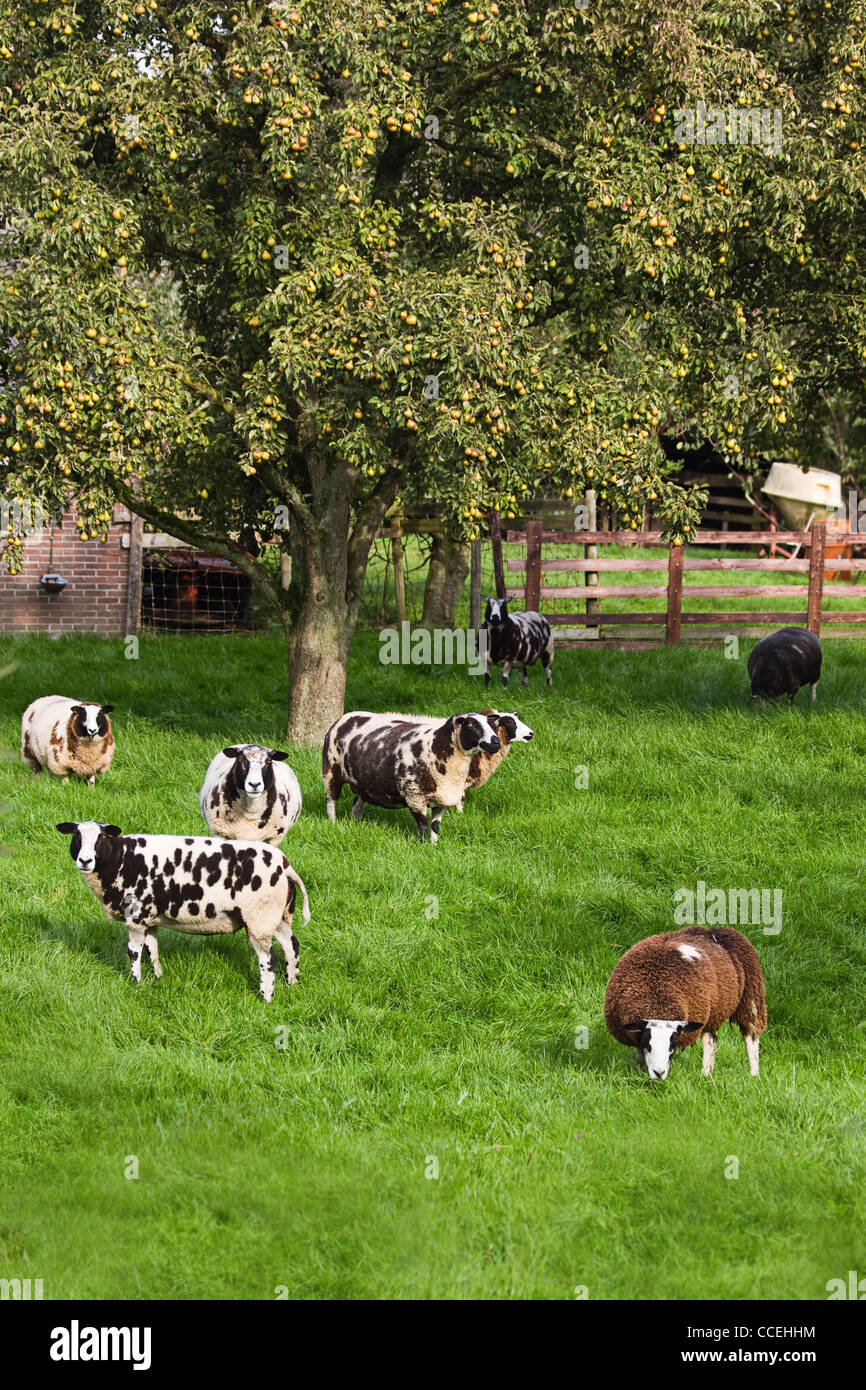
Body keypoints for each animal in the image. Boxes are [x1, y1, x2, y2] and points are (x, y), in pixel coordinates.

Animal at [54, 811, 311, 1000]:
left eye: (101, 838)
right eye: (76, 836)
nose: (85, 860)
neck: (120, 859)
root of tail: (286, 866)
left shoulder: (136, 916)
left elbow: (134, 952)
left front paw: (135, 983)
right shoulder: (150, 917)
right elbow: (152, 949)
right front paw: (157, 978)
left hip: (258, 917)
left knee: (269, 959)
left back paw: (266, 997)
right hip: (275, 916)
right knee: (291, 946)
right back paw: (292, 983)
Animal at [323, 711, 500, 839]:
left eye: (490, 724)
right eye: (470, 724)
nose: (496, 742)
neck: (437, 748)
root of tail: (344, 717)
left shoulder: (442, 800)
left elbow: (435, 828)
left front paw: (434, 846)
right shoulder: (415, 797)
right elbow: (423, 826)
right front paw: (424, 847)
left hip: (364, 783)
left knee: (357, 803)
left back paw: (356, 824)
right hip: (331, 770)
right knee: (331, 800)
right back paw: (333, 823)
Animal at [603, 928, 767, 1078]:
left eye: (672, 1046)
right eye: (648, 1044)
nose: (659, 1073)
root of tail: (716, 930)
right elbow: (639, 1054)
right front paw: (640, 1070)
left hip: (751, 999)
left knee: (750, 1037)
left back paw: (753, 1074)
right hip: (712, 1012)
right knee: (711, 1041)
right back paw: (707, 1073)